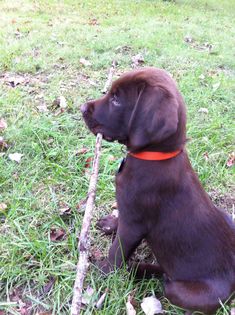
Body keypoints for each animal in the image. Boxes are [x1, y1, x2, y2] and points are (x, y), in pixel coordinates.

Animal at [81, 66, 235, 314]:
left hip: (181, 290)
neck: (153, 157)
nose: (82, 108)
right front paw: (109, 224)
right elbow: (119, 222)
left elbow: (117, 250)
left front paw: (103, 271)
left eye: (116, 99)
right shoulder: (129, 214)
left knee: (167, 278)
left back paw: (137, 270)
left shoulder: (134, 224)